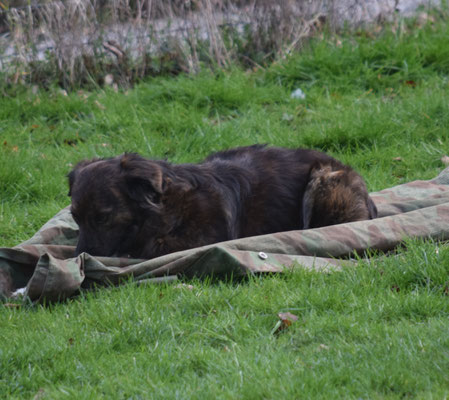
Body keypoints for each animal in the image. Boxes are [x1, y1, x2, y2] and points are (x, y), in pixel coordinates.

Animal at [67, 145, 374, 260]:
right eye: (75, 218)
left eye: (103, 217)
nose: (78, 255)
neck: (169, 208)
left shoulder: (203, 239)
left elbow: (147, 248)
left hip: (323, 179)